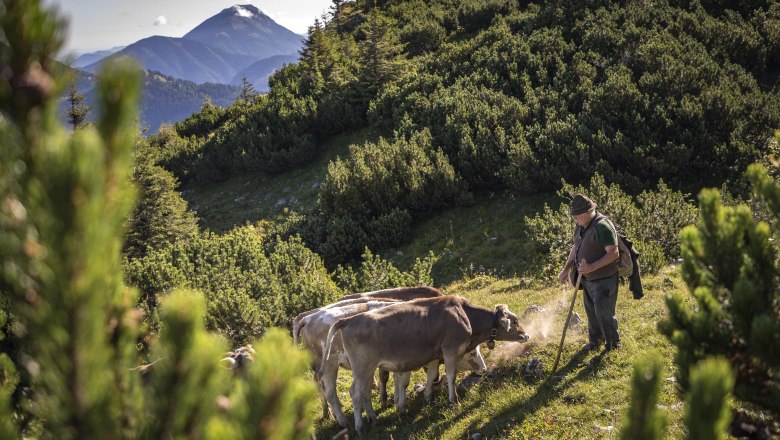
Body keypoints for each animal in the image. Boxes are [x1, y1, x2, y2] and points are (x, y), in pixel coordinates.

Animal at [320, 294, 528, 434]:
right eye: (515, 320)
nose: (525, 335)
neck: (464, 315)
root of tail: (349, 319)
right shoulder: (450, 349)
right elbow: (451, 376)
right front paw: (453, 400)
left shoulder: (435, 354)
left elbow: (432, 374)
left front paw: (428, 397)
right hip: (362, 368)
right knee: (355, 394)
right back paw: (359, 426)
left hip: (366, 370)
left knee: (362, 393)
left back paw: (372, 418)